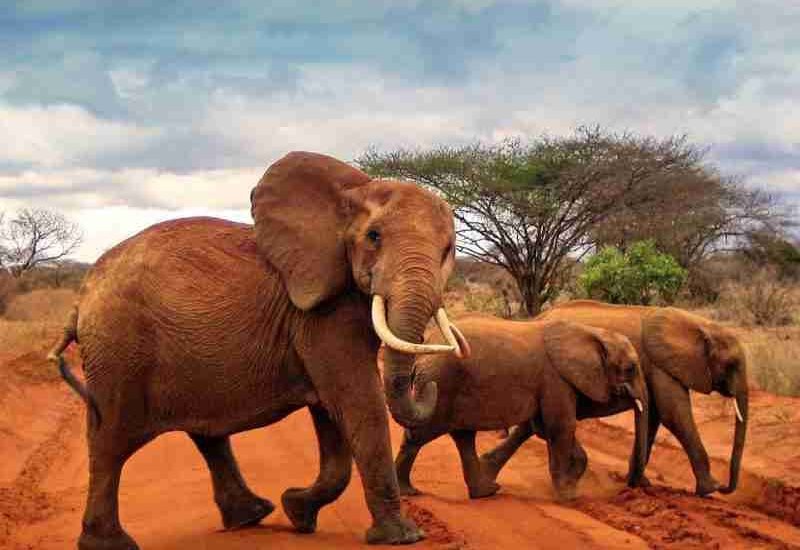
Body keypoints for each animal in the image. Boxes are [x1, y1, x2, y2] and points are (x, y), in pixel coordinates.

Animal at [47, 152, 471, 550]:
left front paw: (297, 512)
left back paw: (253, 515)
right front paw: (403, 537)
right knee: (110, 441)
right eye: (374, 237)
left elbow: (332, 414)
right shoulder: (320, 312)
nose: (428, 385)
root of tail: (81, 298)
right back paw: (111, 543)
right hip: (119, 350)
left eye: (448, 249)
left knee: (204, 432)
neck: (353, 193)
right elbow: (356, 401)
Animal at [388, 314, 649, 501]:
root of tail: (422, 352)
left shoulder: (552, 383)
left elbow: (544, 427)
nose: (631, 491)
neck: (592, 332)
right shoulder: (555, 379)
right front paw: (569, 497)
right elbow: (560, 427)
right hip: (440, 386)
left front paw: (570, 485)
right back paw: (408, 492)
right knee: (421, 435)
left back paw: (485, 492)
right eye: (630, 368)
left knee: (463, 437)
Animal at [484, 300, 747, 497]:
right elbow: (673, 414)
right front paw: (709, 489)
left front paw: (641, 484)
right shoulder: (660, 364)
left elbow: (654, 415)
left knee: (534, 424)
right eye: (732, 365)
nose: (726, 487)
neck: (700, 324)